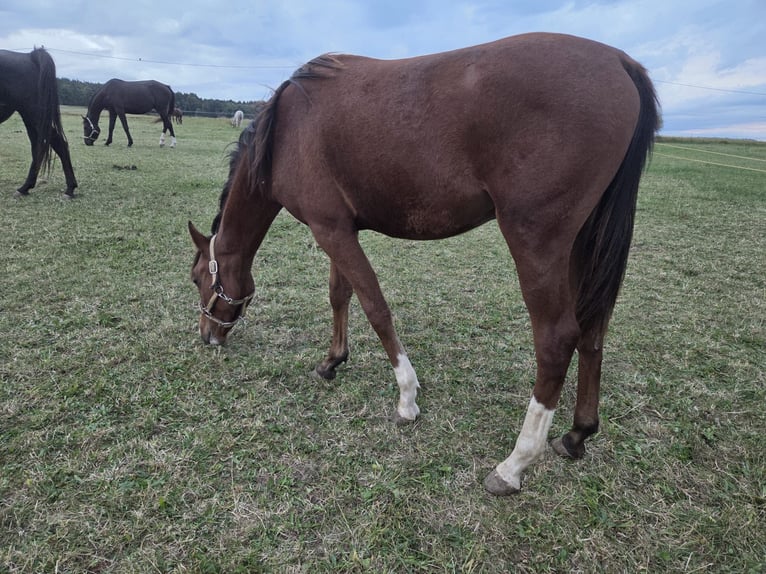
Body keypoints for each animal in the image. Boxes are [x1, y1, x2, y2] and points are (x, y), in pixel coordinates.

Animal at [0, 48, 78, 197]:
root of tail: (29, 56)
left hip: (33, 114)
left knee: (58, 144)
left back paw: (69, 189)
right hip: (30, 117)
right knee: (38, 147)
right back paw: (25, 188)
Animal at [188, 33, 660, 496]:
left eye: (197, 279)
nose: (208, 337)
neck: (287, 129)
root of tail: (619, 61)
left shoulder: (331, 231)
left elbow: (375, 307)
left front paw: (407, 398)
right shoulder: (338, 228)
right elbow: (341, 295)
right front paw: (332, 361)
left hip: (536, 241)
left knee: (557, 340)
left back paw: (514, 464)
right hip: (583, 242)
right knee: (593, 329)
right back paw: (578, 433)